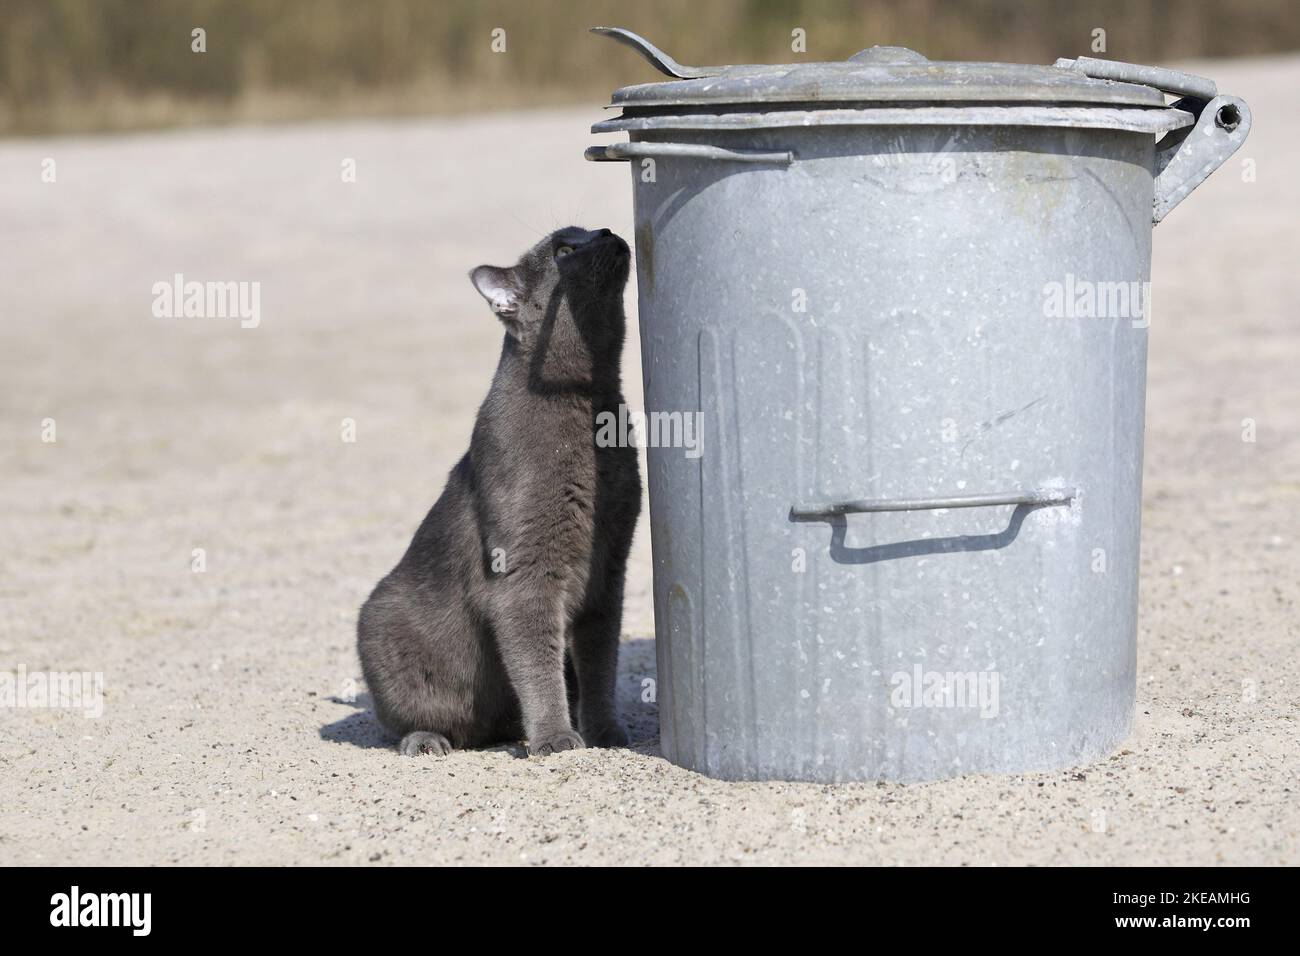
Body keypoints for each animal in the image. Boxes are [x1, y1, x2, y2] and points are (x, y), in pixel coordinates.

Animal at [358, 227, 642, 759]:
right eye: (564, 250)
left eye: (588, 232)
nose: (607, 232)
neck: (586, 402)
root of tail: (483, 733)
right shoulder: (524, 572)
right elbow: (536, 662)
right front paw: (555, 738)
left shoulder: (609, 570)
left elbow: (601, 662)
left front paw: (605, 732)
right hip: (380, 624)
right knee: (405, 721)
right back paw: (428, 740)